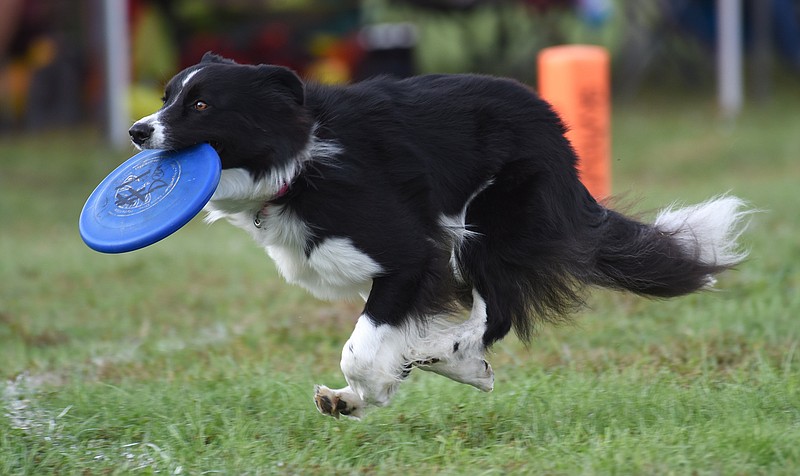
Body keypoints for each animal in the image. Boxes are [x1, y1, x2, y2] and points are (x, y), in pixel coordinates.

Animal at [130, 52, 752, 416]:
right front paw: (357, 397)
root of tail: (560, 135)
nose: (137, 131)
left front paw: (372, 387)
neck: (297, 160)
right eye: (166, 98)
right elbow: (380, 335)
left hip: (492, 220)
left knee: (497, 310)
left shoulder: (407, 254)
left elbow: (361, 346)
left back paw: (449, 357)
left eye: (201, 104)